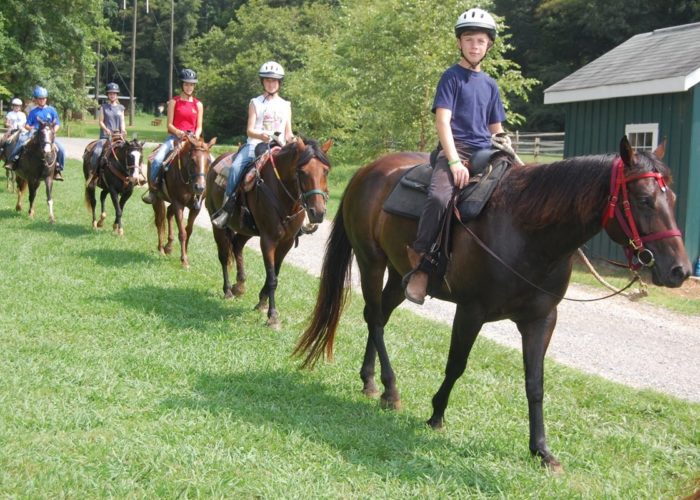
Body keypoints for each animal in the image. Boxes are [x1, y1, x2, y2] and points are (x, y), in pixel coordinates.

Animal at [147, 133, 213, 268]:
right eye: (192, 160)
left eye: (209, 161)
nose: (200, 188)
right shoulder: (178, 204)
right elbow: (182, 233)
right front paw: (184, 261)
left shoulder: (195, 208)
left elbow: (189, 231)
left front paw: (185, 254)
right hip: (157, 199)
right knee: (159, 221)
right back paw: (161, 249)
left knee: (168, 213)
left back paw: (168, 247)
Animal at [205, 137, 334, 328]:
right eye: (302, 172)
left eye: (325, 171)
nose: (317, 212)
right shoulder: (268, 240)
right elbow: (272, 277)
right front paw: (272, 316)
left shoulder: (287, 242)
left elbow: (275, 274)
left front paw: (262, 302)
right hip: (219, 225)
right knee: (223, 256)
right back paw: (228, 290)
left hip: (246, 230)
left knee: (237, 246)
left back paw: (239, 286)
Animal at [294, 137, 688, 472]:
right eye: (644, 200)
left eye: (673, 200)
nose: (679, 270)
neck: (525, 230)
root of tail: (368, 170)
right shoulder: (471, 311)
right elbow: (456, 366)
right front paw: (436, 415)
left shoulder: (542, 319)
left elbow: (535, 383)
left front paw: (541, 450)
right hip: (371, 261)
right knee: (374, 317)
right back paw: (390, 390)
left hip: (399, 273)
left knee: (382, 315)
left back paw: (370, 380)